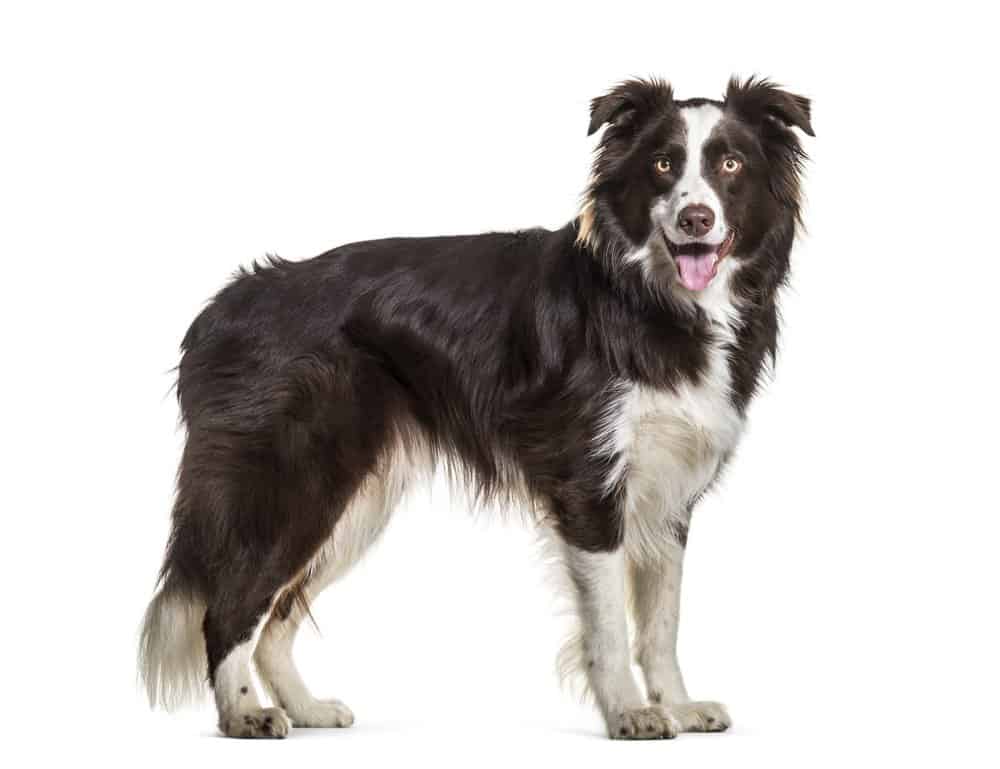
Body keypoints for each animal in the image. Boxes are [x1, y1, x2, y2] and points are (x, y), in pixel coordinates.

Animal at [141, 76, 812, 736]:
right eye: (663, 164)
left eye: (731, 164)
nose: (696, 219)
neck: (651, 299)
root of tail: (222, 305)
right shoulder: (589, 483)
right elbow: (608, 627)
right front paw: (628, 713)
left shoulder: (669, 490)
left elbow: (661, 621)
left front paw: (678, 704)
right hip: (294, 480)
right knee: (230, 604)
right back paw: (244, 714)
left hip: (356, 500)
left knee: (278, 615)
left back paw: (305, 709)